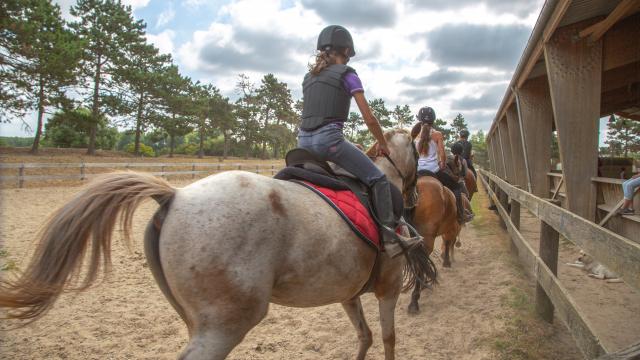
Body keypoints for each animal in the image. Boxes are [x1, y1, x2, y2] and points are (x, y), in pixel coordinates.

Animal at [0, 129, 436, 360]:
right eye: (418, 153)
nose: (416, 196)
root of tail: (175, 195)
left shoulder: (348, 293)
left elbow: (364, 336)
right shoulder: (387, 289)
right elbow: (388, 339)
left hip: (198, 323)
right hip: (223, 327)